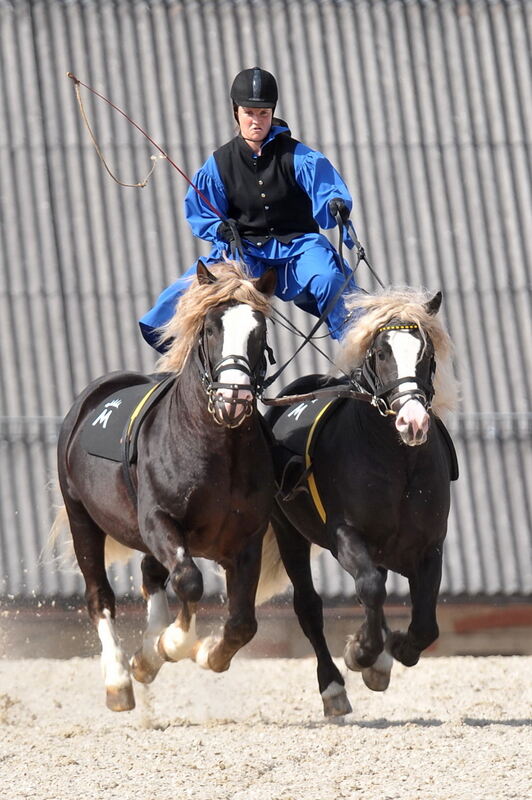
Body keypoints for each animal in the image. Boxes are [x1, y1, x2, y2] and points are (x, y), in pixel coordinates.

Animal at [53, 262, 276, 712]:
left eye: (259, 331)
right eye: (210, 328)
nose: (234, 399)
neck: (218, 449)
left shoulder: (247, 540)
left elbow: (242, 622)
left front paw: (202, 653)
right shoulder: (161, 521)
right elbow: (189, 581)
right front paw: (173, 644)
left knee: (151, 573)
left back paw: (144, 659)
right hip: (82, 520)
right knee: (100, 596)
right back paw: (120, 681)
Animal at [262, 288, 458, 720]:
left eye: (427, 353)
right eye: (381, 353)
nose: (413, 422)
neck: (398, 460)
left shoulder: (429, 547)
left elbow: (426, 625)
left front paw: (395, 649)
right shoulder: (346, 535)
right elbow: (368, 587)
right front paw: (361, 652)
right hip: (289, 534)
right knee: (309, 607)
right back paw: (334, 688)